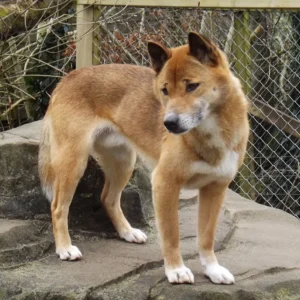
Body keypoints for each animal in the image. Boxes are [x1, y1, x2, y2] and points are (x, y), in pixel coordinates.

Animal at [38, 32, 250, 284]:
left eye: (192, 86)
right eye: (165, 90)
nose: (169, 123)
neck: (210, 133)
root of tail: (68, 77)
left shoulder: (215, 188)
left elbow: (207, 237)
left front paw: (212, 269)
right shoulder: (165, 184)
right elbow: (171, 235)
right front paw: (176, 270)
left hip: (123, 162)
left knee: (108, 198)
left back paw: (127, 232)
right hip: (74, 162)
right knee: (58, 207)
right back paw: (65, 248)